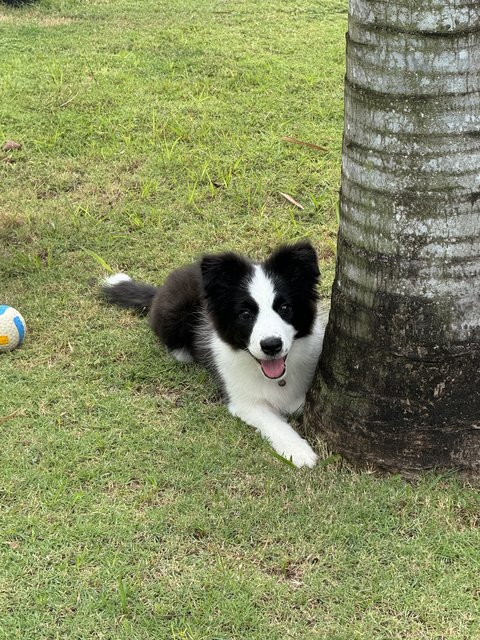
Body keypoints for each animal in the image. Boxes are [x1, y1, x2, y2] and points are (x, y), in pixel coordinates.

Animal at [101, 242, 326, 468]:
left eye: (285, 308)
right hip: (174, 311)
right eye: (245, 314)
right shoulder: (243, 402)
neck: (275, 379)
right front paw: (299, 451)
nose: (271, 346)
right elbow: (274, 423)